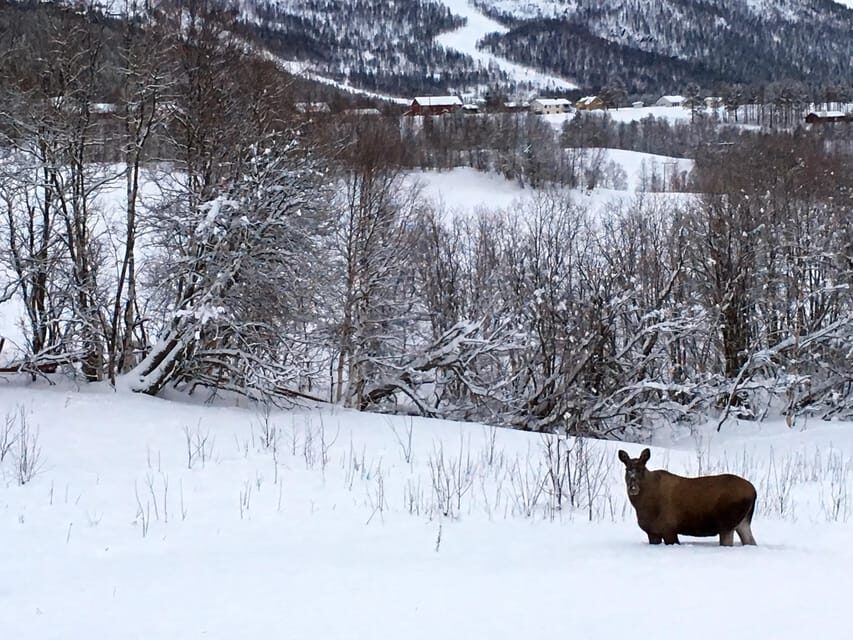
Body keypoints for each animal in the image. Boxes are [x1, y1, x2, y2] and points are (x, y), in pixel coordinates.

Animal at [618, 448, 757, 546]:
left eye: (641, 469)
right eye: (627, 469)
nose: (633, 487)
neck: (642, 507)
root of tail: (754, 492)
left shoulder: (668, 529)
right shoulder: (652, 532)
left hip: (727, 524)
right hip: (743, 522)